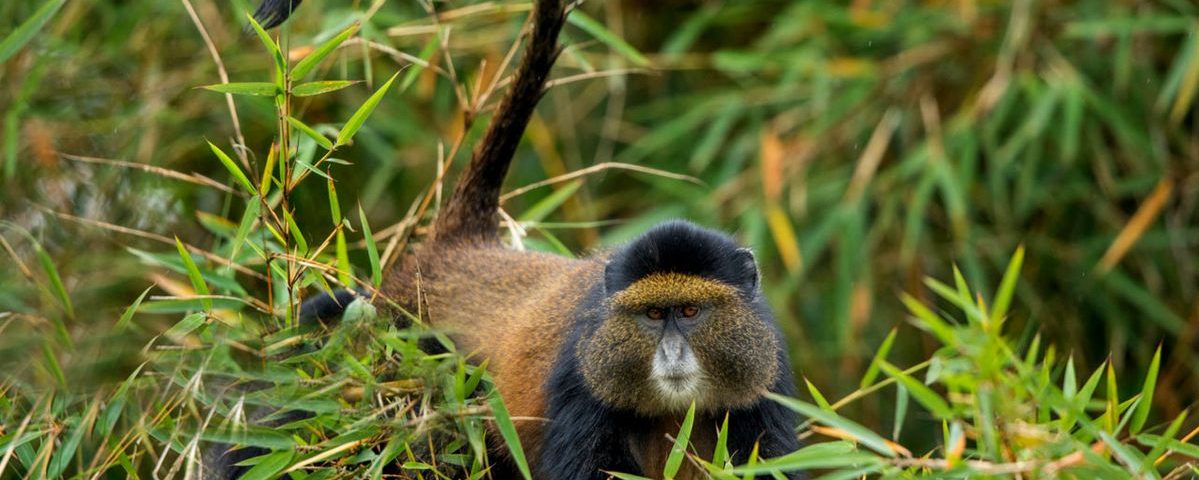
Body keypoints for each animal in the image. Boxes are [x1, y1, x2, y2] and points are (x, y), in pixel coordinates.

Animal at [210, 0, 805, 478]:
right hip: (391, 341)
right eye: (654, 315)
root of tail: (459, 249)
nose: (674, 353)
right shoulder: (578, 384)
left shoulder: (766, 376)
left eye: (691, 312)